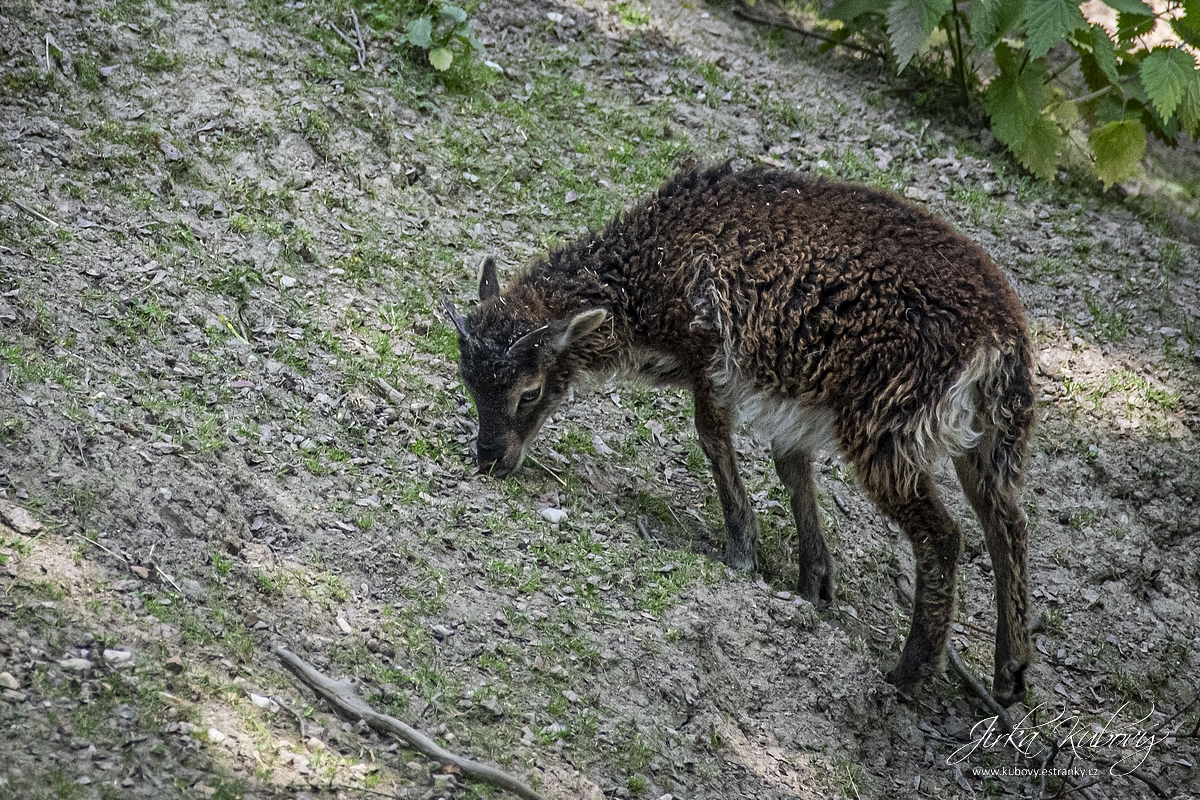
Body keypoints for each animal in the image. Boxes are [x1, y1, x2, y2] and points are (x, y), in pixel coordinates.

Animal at [446, 164, 1036, 705]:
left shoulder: (706, 350)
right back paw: (1010, 673)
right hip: (988, 435)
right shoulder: (795, 399)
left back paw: (912, 670)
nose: (490, 457)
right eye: (468, 381)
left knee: (944, 535)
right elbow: (792, 468)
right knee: (1006, 518)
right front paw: (813, 583)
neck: (653, 270)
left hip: (886, 426)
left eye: (528, 392)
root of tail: (999, 337)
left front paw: (740, 552)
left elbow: (712, 437)